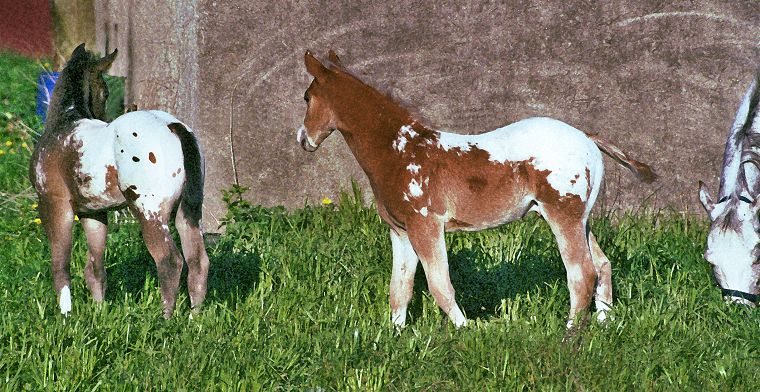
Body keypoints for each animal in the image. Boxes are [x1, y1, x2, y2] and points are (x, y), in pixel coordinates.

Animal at [29, 43, 209, 318]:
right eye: (105, 92)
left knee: (169, 260)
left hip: (149, 212)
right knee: (197, 260)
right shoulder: (93, 213)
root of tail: (173, 126)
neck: (64, 124)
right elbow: (95, 268)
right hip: (188, 212)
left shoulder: (55, 206)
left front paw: (66, 316)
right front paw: (99, 312)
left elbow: (60, 267)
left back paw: (165, 319)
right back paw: (194, 318)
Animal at [300, 50, 656, 330]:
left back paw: (569, 336)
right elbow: (399, 290)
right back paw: (603, 325)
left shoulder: (426, 226)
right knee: (603, 266)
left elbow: (440, 286)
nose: (303, 140)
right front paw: (393, 339)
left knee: (581, 275)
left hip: (563, 216)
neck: (400, 151)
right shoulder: (400, 232)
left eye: (306, 98)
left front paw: (467, 331)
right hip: (581, 220)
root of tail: (587, 137)